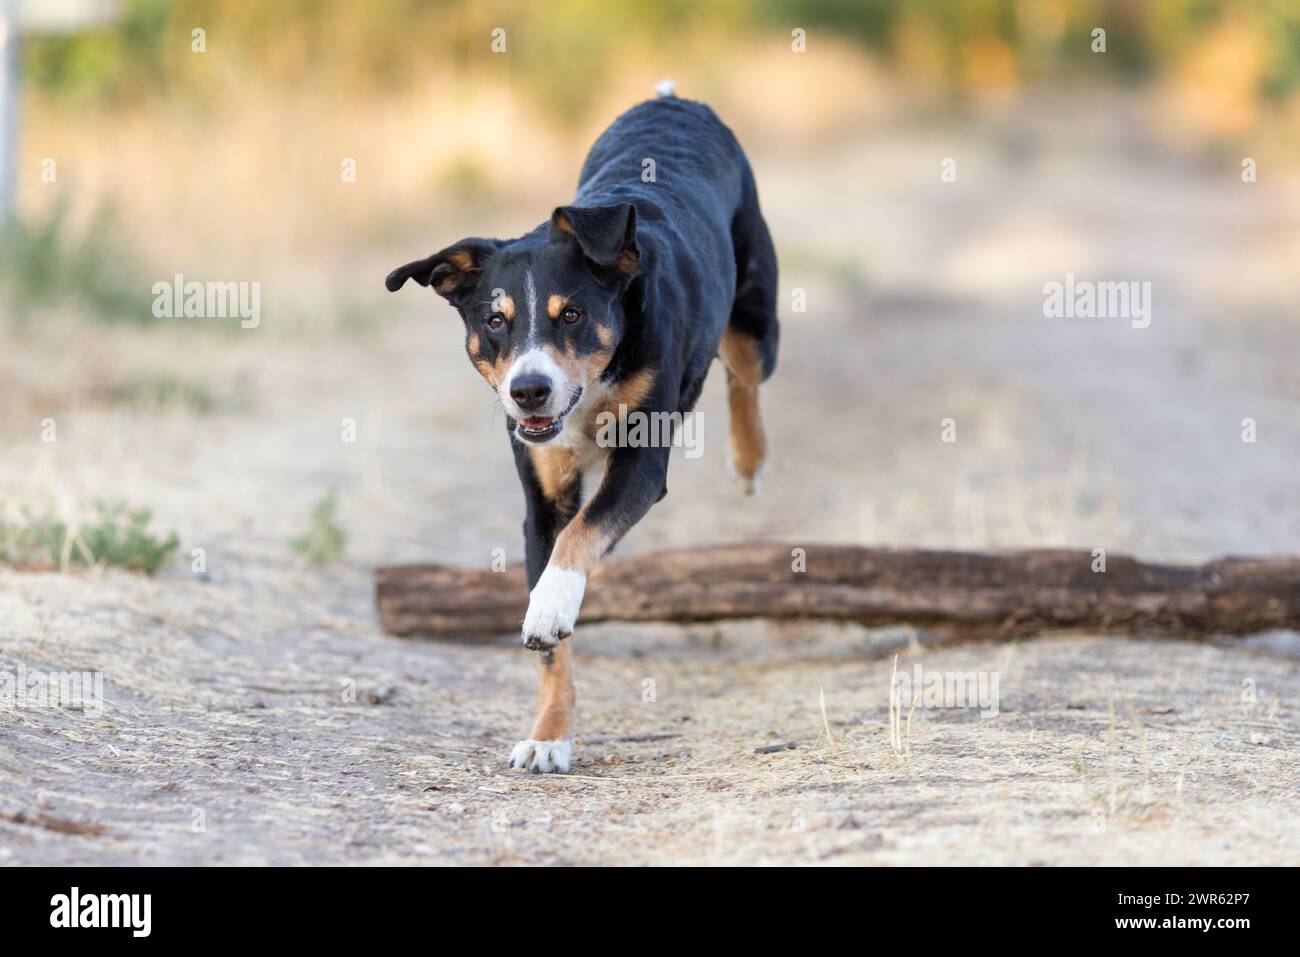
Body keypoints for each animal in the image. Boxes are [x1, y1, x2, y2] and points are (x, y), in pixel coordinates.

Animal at [379, 80, 774, 769]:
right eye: (495, 321)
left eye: (573, 315)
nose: (528, 391)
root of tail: (676, 101)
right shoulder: (542, 496)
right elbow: (554, 643)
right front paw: (548, 736)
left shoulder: (641, 464)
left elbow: (582, 535)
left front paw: (550, 605)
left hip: (757, 319)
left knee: (742, 368)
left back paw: (748, 460)